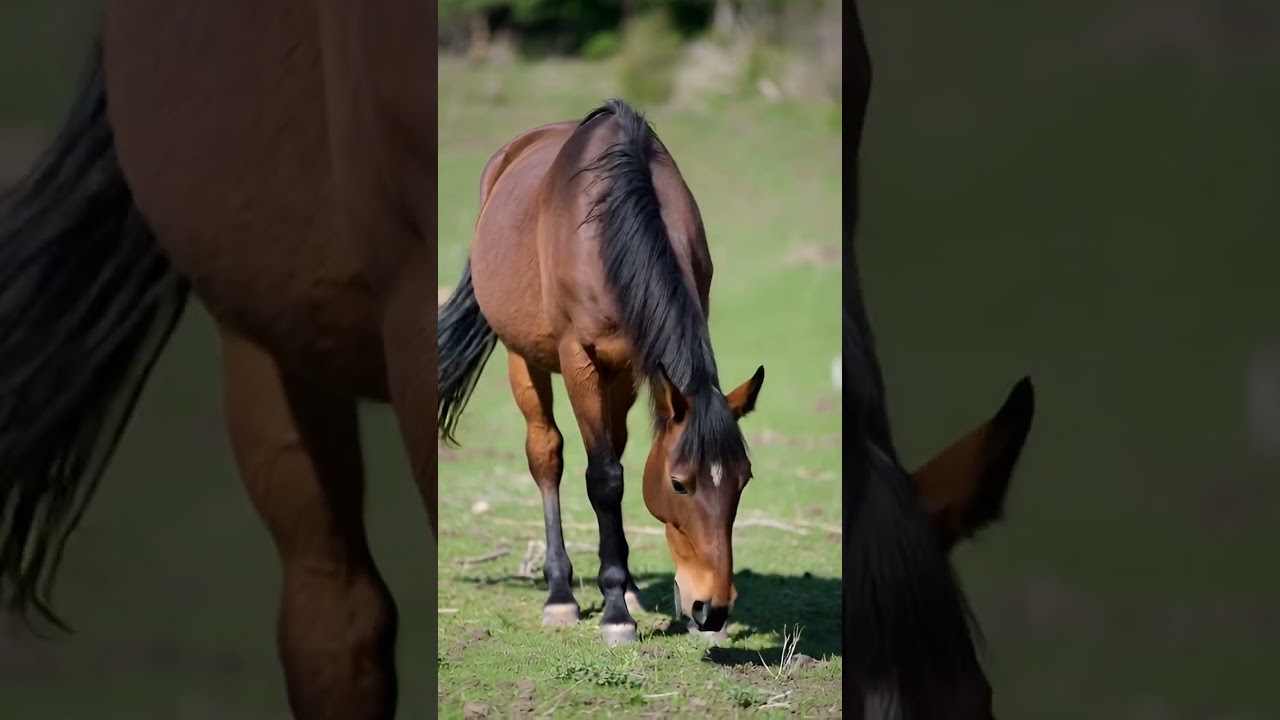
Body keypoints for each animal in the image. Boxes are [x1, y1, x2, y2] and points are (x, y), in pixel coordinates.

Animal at [437, 99, 767, 647]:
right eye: (679, 484)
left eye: (743, 481)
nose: (712, 609)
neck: (608, 232)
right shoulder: (580, 359)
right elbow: (604, 478)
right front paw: (614, 613)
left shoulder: (633, 363)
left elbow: (618, 460)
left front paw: (629, 593)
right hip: (523, 357)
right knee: (546, 454)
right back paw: (561, 594)